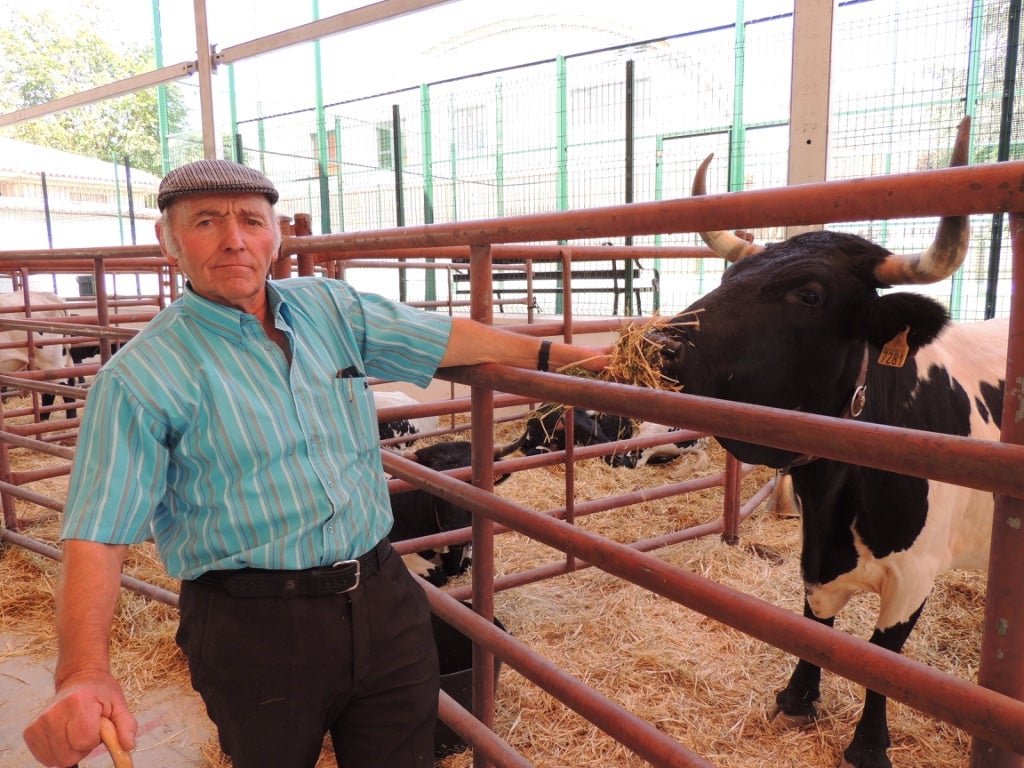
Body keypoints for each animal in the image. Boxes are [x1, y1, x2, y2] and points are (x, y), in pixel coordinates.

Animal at [647, 115, 999, 768]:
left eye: (808, 295)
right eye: (730, 276)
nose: (660, 344)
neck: (842, 494)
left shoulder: (915, 575)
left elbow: (884, 657)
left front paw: (869, 744)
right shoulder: (816, 547)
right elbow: (814, 619)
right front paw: (798, 696)